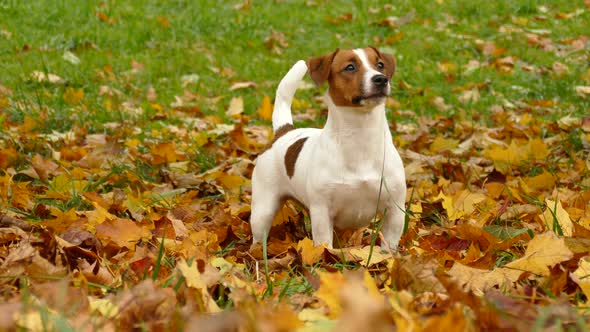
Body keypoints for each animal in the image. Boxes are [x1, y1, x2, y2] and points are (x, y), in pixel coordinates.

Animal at [250, 46, 408, 249]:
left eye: (380, 65)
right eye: (350, 67)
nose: (381, 79)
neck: (360, 137)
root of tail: (284, 131)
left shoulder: (395, 210)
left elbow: (388, 246)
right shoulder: (321, 211)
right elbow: (324, 245)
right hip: (263, 209)